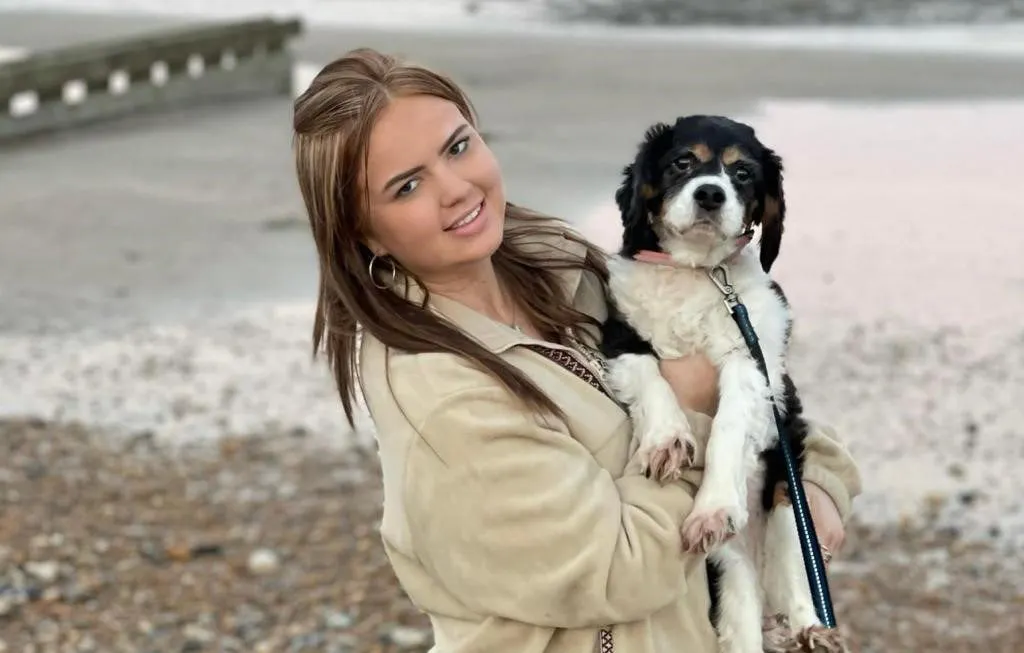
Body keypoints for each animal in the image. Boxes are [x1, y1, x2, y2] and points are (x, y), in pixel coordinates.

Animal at [599, 115, 844, 652]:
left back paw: (810, 628)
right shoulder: (621, 338)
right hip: (728, 571)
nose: (711, 193)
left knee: (795, 565)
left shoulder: (754, 359)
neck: (698, 271)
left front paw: (712, 507)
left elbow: (730, 424)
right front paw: (667, 439)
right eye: (681, 162)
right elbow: (650, 377)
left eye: (744, 173)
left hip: (787, 498)